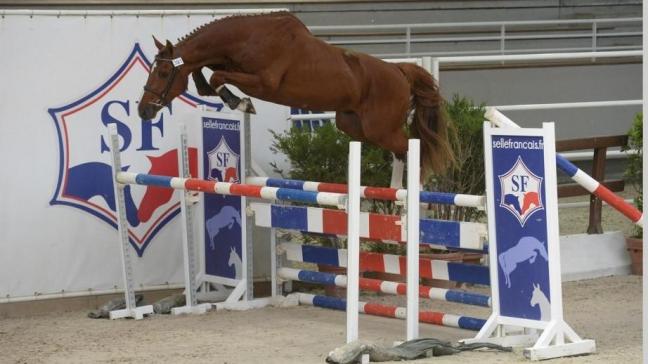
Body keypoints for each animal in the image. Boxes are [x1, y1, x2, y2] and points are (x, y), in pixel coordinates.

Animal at [138, 12, 450, 180]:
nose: (144, 110)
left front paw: (242, 103)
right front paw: (229, 97)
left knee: (412, 148)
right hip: (353, 125)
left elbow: (216, 78)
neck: (247, 38)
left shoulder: (263, 83)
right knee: (401, 151)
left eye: (163, 73)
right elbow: (206, 76)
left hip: (380, 128)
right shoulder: (227, 64)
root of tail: (399, 71)